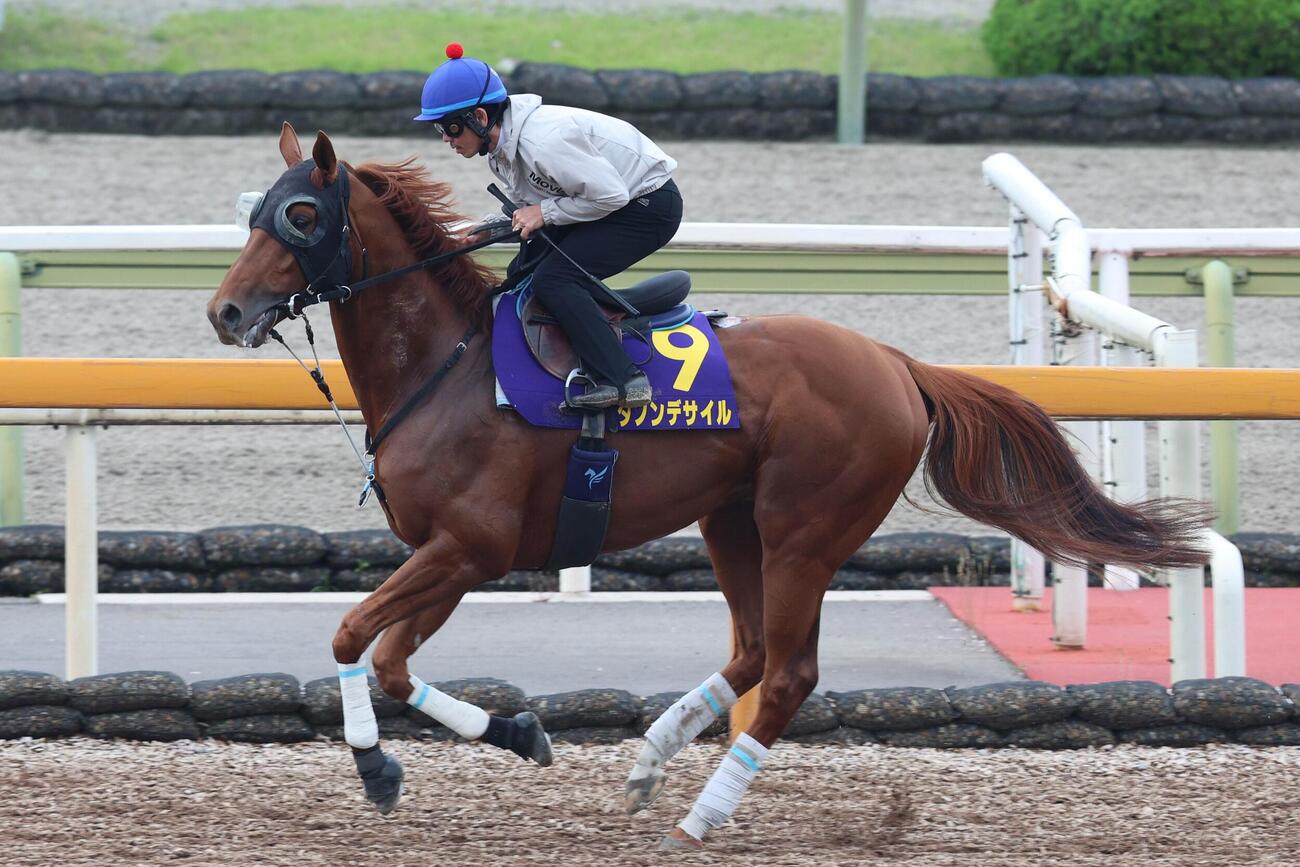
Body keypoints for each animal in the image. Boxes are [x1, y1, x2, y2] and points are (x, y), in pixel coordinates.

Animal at [207, 124, 1209, 850]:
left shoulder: (471, 547)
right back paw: (651, 760)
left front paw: (377, 768)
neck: (444, 367)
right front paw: (519, 734)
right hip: (732, 522)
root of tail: (895, 362)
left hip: (804, 529)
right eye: (256, 211)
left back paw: (701, 814)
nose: (224, 311)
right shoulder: (449, 556)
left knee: (792, 669)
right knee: (755, 652)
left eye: (301, 215)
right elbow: (391, 659)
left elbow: (351, 633)